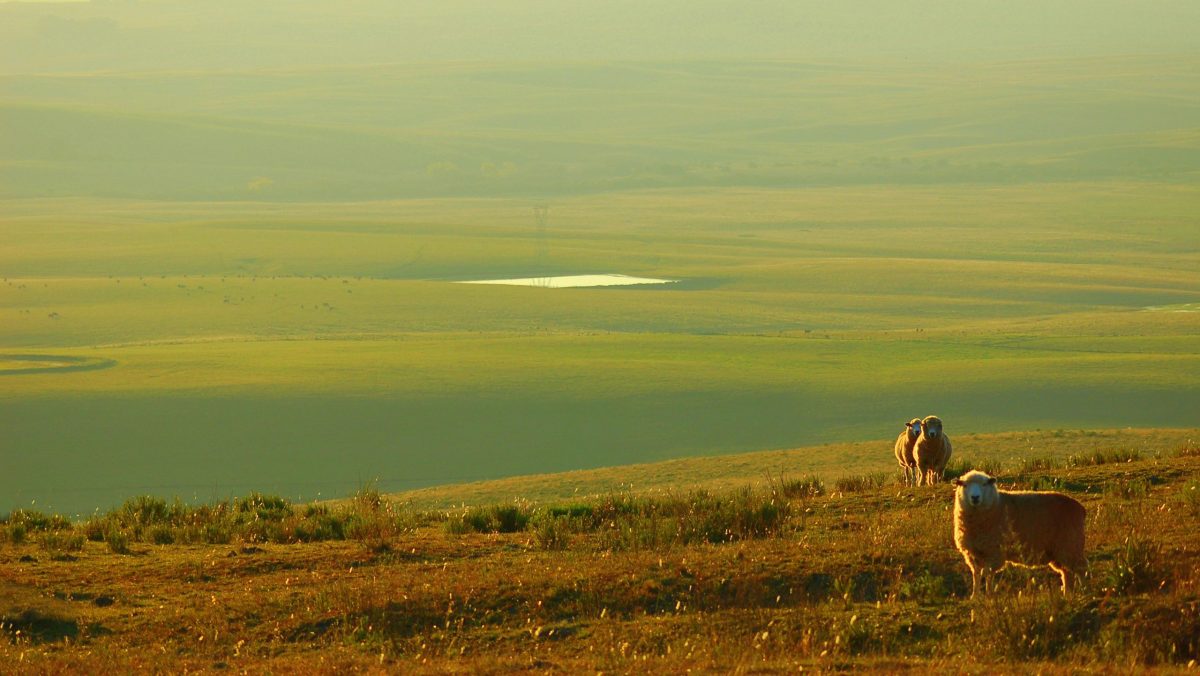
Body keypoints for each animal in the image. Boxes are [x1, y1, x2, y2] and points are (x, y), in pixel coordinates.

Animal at [955, 470, 1089, 597]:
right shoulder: (972, 553)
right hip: (1059, 551)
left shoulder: (995, 552)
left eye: (984, 484)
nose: (975, 497)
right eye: (965, 485)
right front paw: (975, 596)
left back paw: (1084, 591)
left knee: (1081, 569)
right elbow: (977, 574)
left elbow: (987, 574)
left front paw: (988, 595)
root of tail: (1080, 508)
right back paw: (1067, 594)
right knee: (1067, 572)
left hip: (1070, 545)